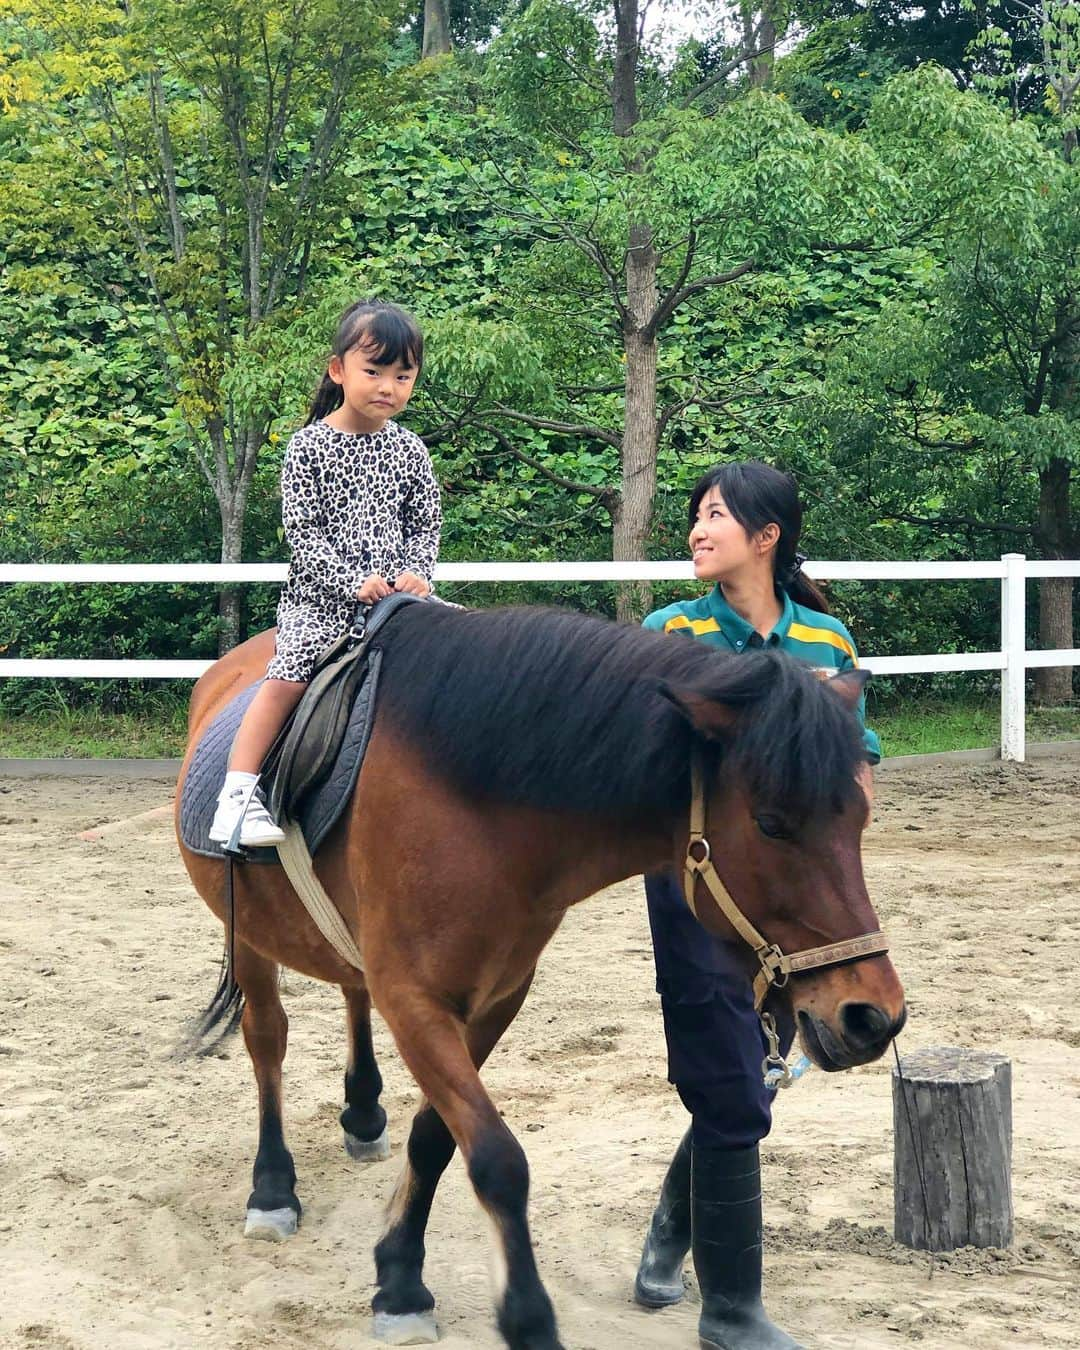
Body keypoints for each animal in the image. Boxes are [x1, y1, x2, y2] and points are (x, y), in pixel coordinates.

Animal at [175, 607, 901, 1350]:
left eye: (860, 816)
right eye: (771, 824)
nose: (873, 1014)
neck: (474, 804)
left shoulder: (495, 999)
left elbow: (435, 1138)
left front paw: (399, 1274)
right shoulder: (416, 1003)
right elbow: (497, 1159)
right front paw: (521, 1315)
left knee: (351, 992)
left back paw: (363, 1112)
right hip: (248, 937)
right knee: (267, 1040)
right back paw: (272, 1188)